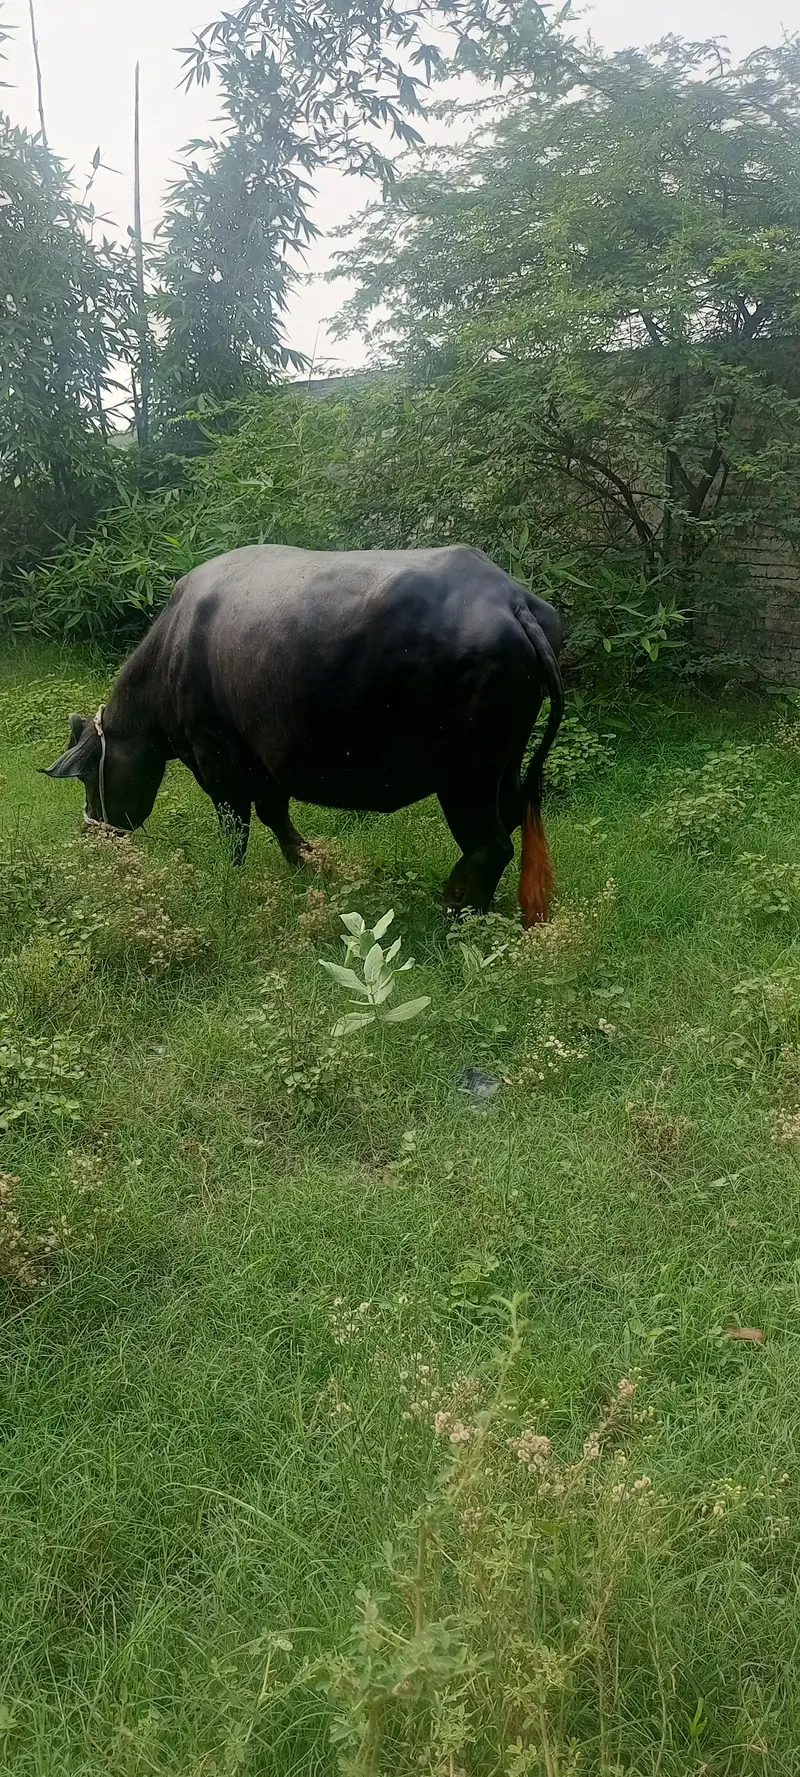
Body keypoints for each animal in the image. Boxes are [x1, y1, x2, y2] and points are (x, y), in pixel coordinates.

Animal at [45, 543, 564, 923]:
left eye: (88, 774)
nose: (94, 831)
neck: (174, 651)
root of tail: (512, 601)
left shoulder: (217, 763)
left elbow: (236, 828)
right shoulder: (266, 761)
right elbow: (276, 814)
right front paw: (311, 861)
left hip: (465, 775)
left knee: (491, 845)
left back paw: (456, 908)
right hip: (505, 764)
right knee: (511, 819)